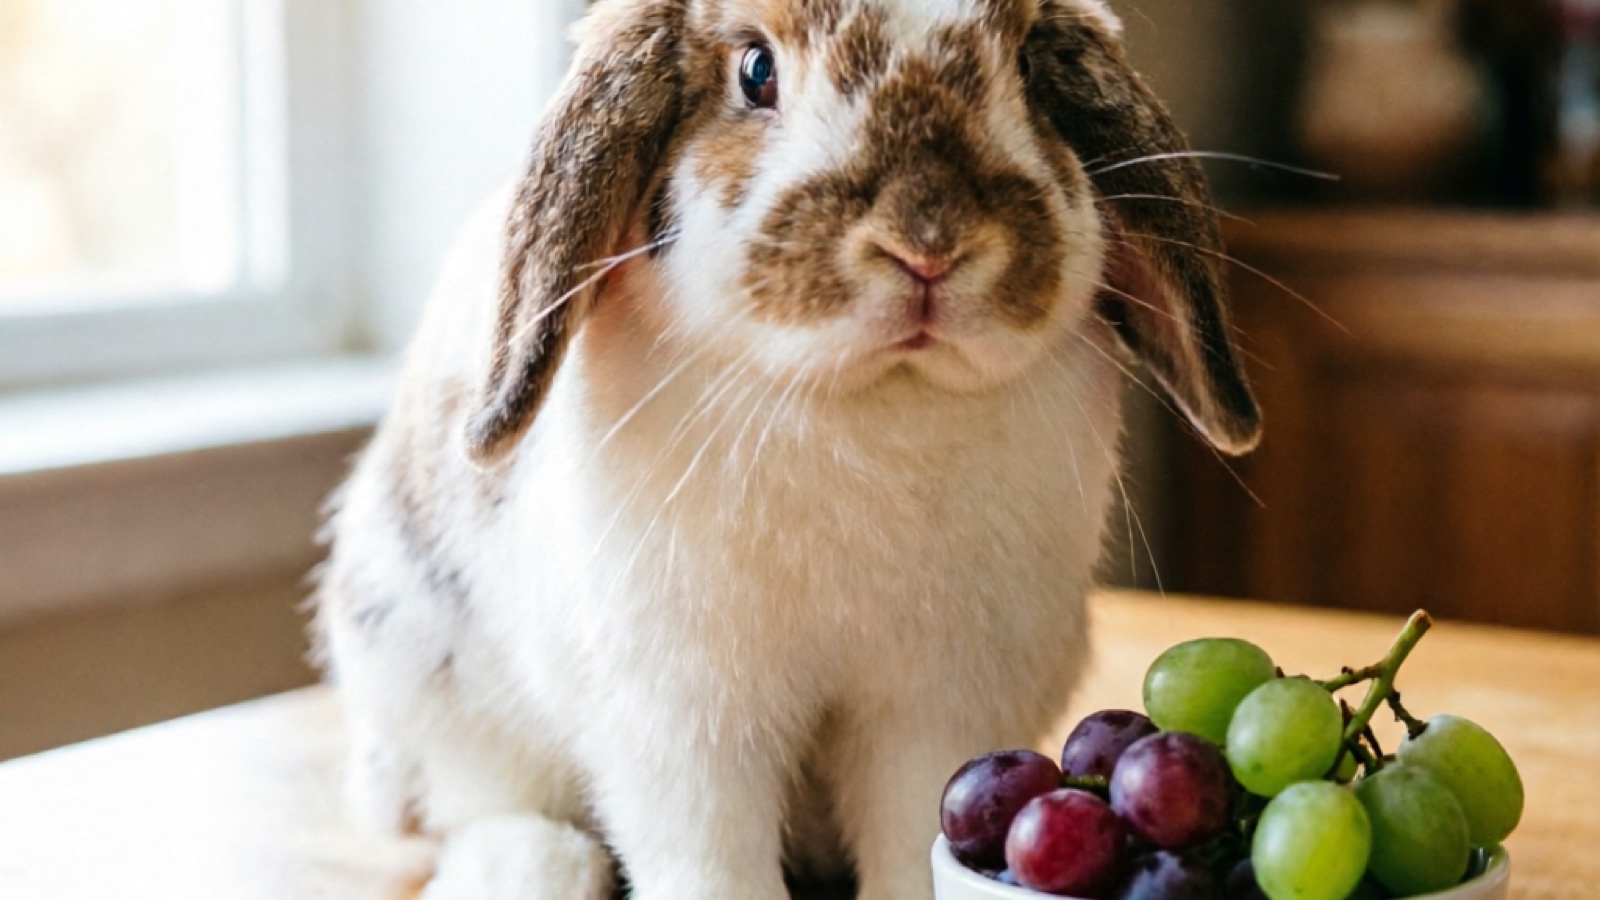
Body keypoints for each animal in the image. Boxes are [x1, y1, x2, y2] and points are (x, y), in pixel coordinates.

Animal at [312, 0, 1261, 897]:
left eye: (1028, 66)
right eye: (755, 71)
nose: (929, 244)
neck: (877, 400)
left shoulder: (935, 708)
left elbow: (914, 826)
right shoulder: (685, 717)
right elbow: (709, 852)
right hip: (427, 674)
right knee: (476, 805)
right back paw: (526, 870)